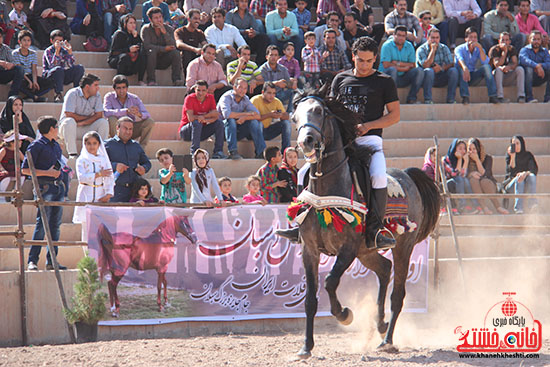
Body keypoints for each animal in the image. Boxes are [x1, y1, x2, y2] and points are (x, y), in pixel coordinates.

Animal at [288, 92, 440, 360]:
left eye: (320, 111)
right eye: (295, 117)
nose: (306, 141)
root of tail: (408, 176)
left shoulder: (347, 249)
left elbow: (330, 282)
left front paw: (344, 314)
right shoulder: (310, 250)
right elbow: (310, 300)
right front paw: (306, 347)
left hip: (402, 247)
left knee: (397, 294)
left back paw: (387, 340)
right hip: (366, 252)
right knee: (384, 269)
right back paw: (380, 325)